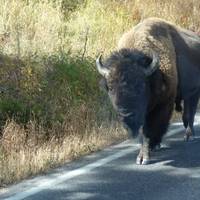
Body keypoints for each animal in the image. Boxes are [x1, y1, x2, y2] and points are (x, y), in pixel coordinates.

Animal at [95, 17, 200, 164]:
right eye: (110, 87)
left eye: (140, 86)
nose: (125, 113)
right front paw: (150, 148)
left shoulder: (163, 104)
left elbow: (149, 130)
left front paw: (143, 157)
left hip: (193, 93)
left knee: (188, 115)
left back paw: (189, 136)